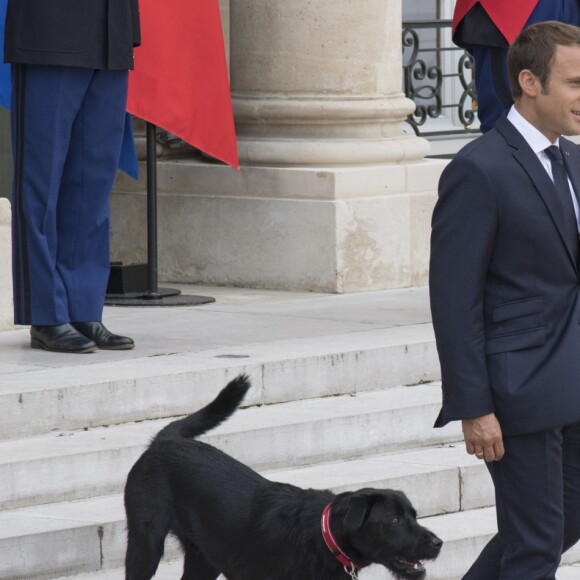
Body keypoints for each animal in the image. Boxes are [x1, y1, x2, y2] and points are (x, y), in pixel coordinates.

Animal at [123, 374, 440, 576]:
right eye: (394, 520)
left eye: (414, 516)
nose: (438, 543)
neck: (323, 536)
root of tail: (165, 440)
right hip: (145, 544)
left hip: (204, 558)